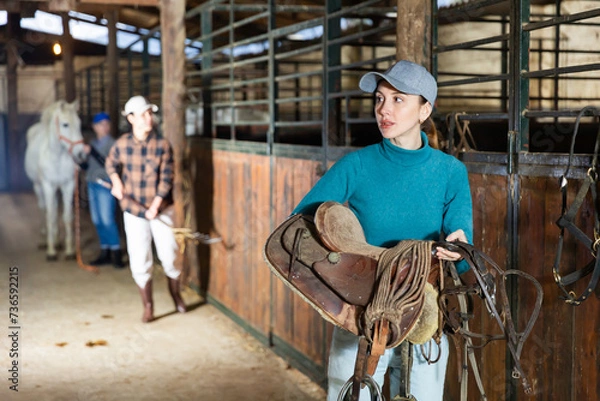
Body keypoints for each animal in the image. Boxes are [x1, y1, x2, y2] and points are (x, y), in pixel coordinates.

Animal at [24, 101, 85, 260]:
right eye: (65, 124)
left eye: (79, 123)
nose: (81, 153)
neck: (56, 156)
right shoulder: (48, 186)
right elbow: (50, 216)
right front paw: (51, 252)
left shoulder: (68, 185)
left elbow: (67, 217)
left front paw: (70, 251)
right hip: (38, 187)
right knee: (44, 209)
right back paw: (44, 241)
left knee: (55, 209)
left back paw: (57, 241)